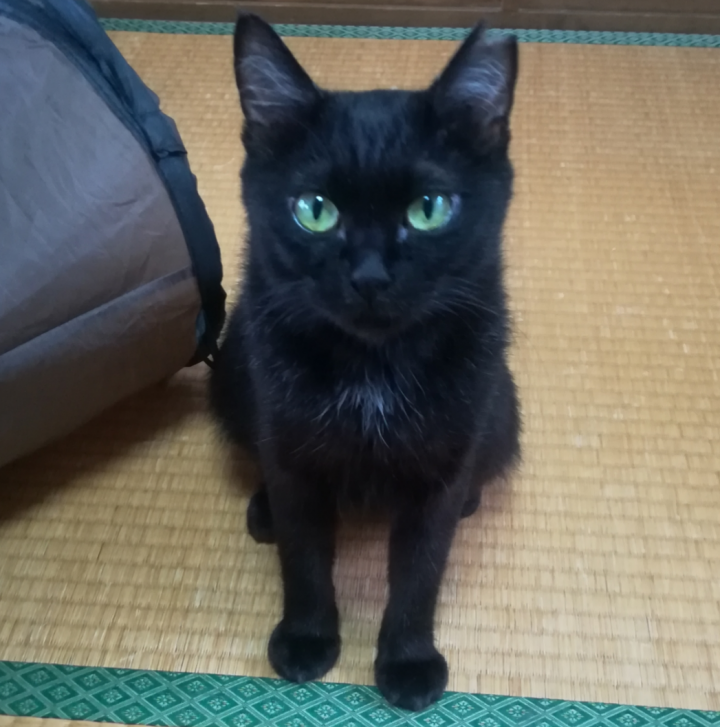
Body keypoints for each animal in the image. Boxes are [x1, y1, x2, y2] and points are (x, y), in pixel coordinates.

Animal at [211, 13, 521, 712]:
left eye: (429, 209)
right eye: (314, 210)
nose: (371, 277)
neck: (373, 366)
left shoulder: (443, 461)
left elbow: (421, 569)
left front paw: (407, 662)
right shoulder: (290, 443)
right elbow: (302, 552)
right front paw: (305, 639)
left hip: (502, 407)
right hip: (234, 373)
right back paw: (262, 511)